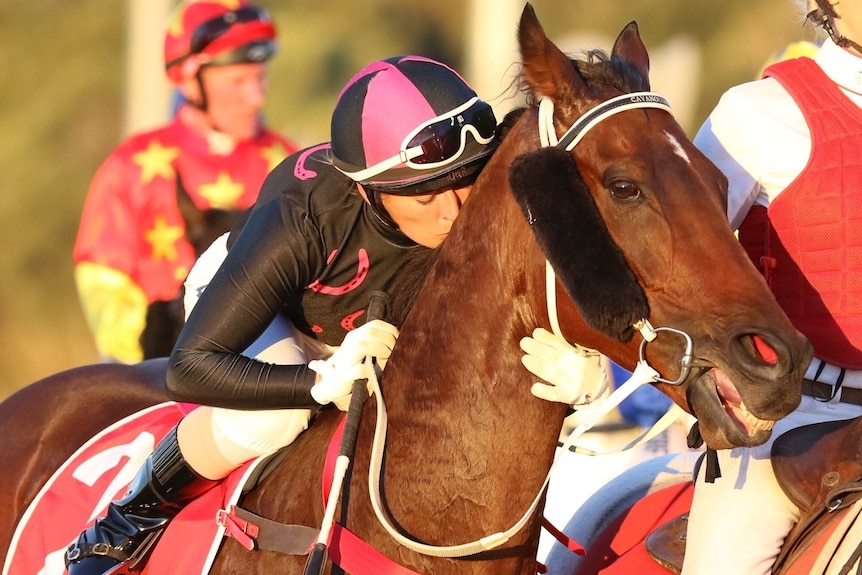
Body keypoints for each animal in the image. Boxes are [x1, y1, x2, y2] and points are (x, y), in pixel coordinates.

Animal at [0, 5, 812, 575]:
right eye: (624, 186)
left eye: (715, 181)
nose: (778, 359)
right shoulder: (288, 228)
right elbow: (197, 362)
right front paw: (347, 367)